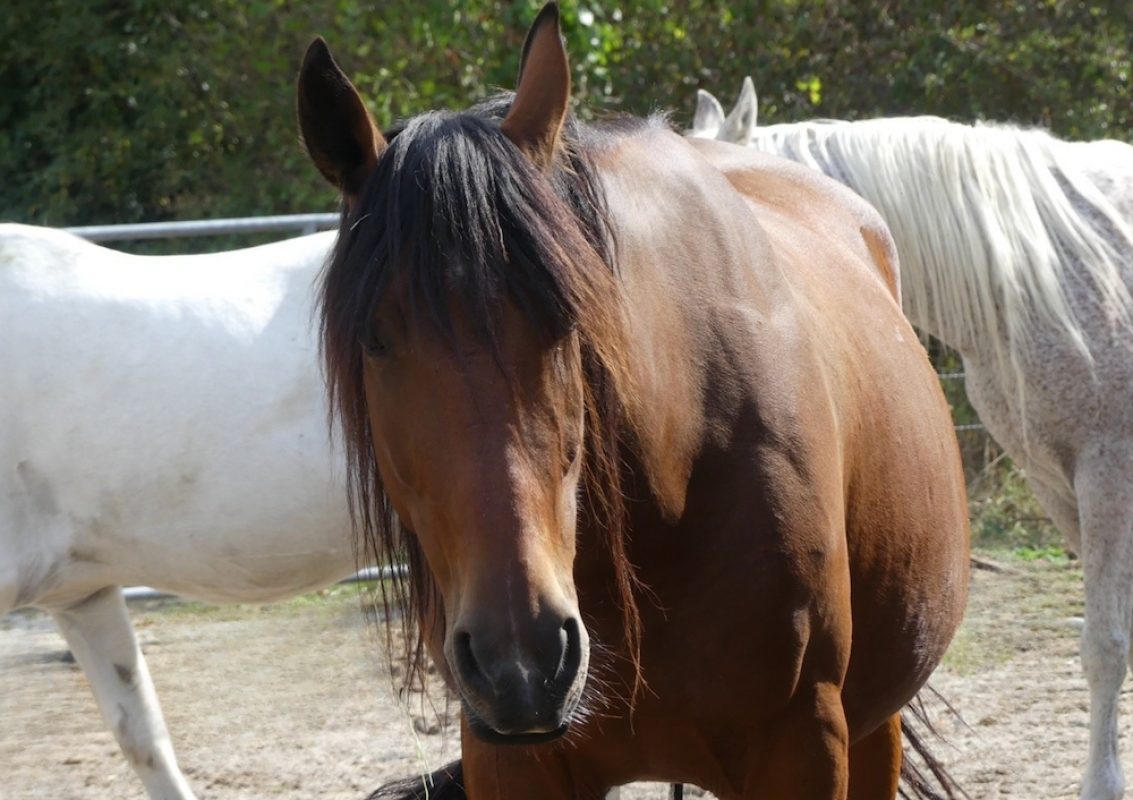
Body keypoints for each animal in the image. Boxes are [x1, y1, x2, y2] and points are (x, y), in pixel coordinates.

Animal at [299, 4, 970, 798]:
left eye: (566, 320)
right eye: (375, 339)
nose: (521, 662)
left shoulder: (804, 742)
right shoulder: (511, 760)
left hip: (873, 723)